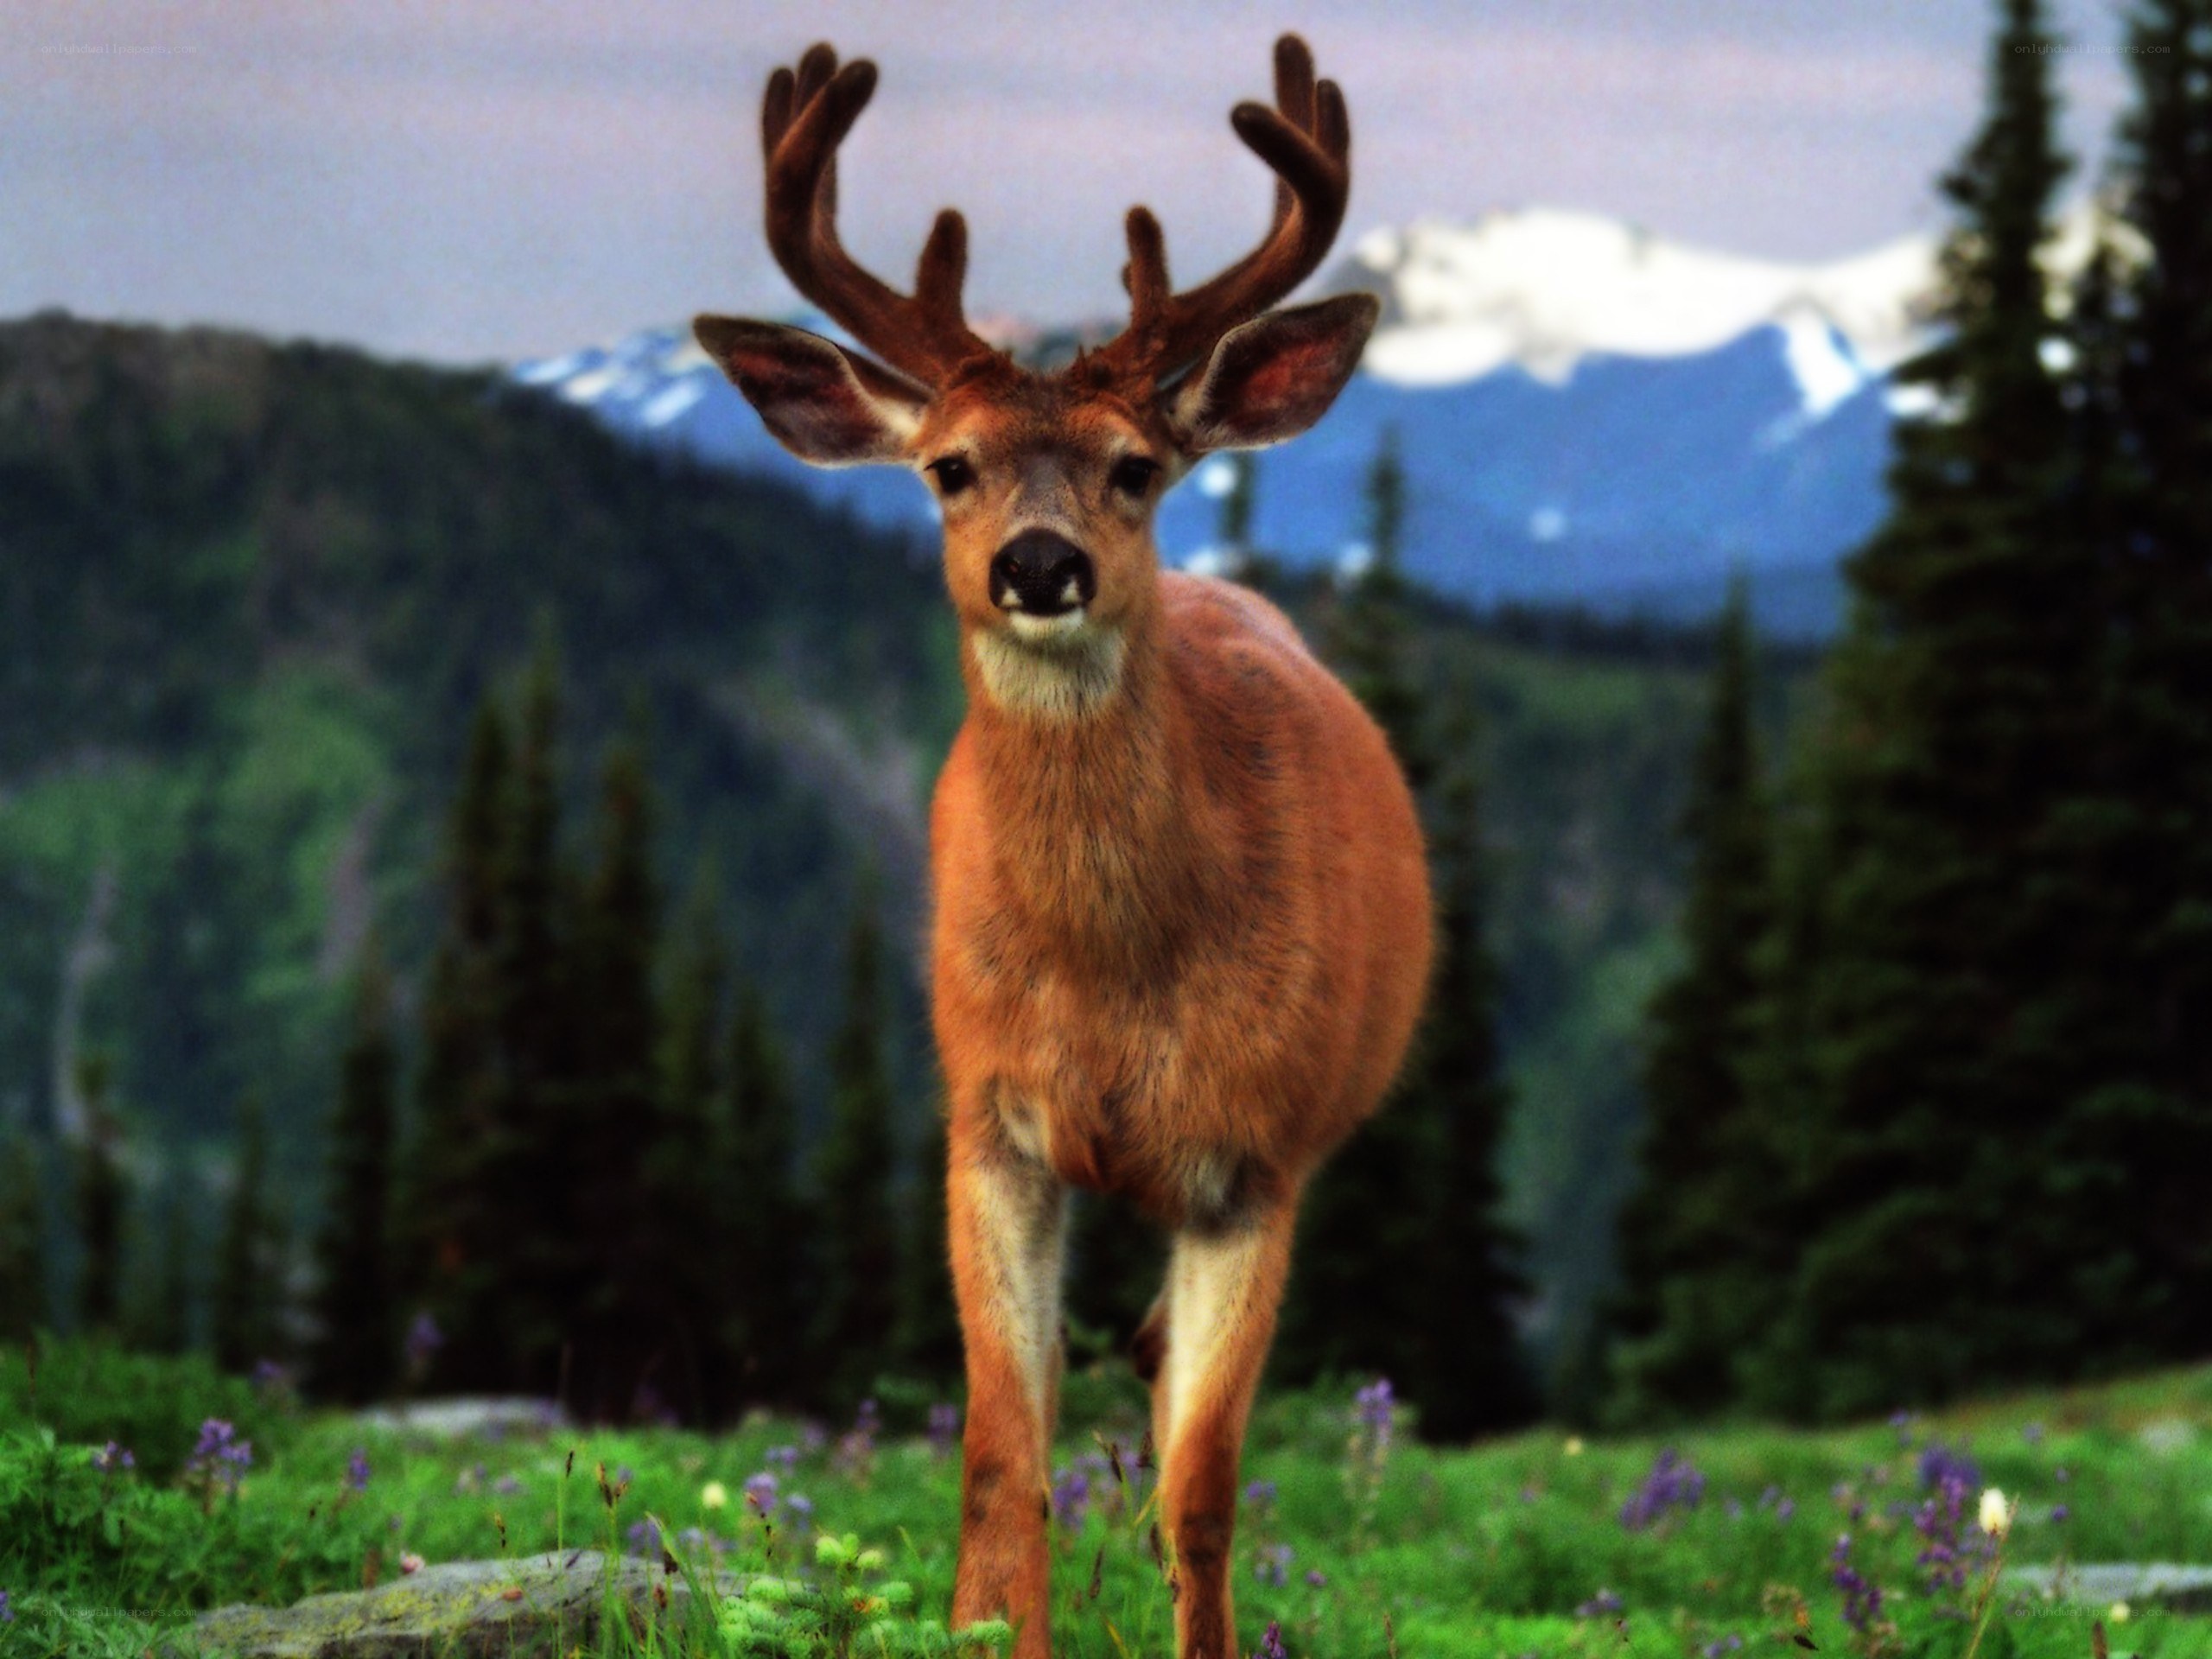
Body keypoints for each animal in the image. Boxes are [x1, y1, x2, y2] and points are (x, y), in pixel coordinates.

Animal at [692, 35, 1432, 1659]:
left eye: (1137, 465)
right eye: (951, 467)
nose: (1043, 565)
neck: (1118, 972)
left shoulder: (1257, 1159)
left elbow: (1203, 1491)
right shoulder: (989, 1122)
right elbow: (997, 1458)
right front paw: (993, 1626)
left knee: (1163, 1398)